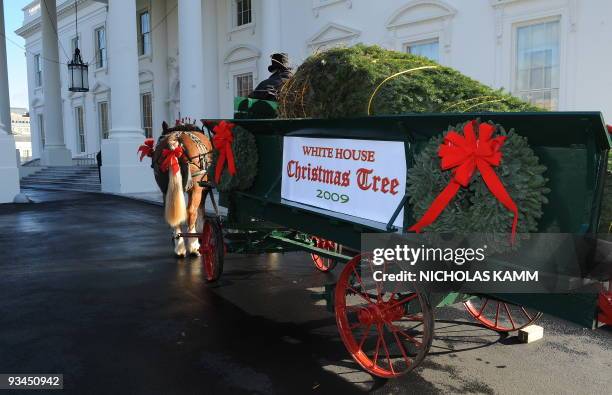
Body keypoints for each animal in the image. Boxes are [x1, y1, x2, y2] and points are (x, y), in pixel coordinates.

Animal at [151, 121, 213, 256]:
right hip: (196, 188)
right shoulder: (203, 188)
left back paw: (179, 246)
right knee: (191, 212)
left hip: (165, 189)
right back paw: (193, 246)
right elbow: (200, 209)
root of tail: (176, 141)